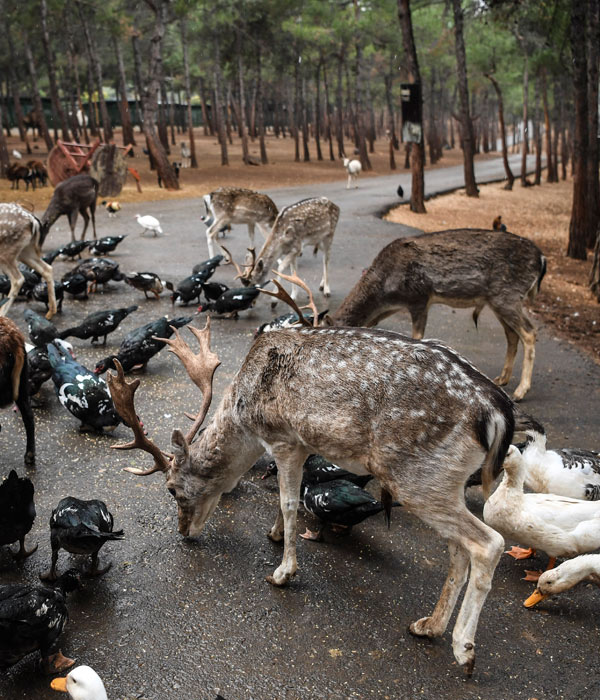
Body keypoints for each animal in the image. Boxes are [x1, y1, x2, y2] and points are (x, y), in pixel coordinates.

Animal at [109, 278, 544, 680]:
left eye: (172, 489)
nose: (184, 532)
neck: (245, 417)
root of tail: (497, 410)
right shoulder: (302, 445)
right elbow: (287, 497)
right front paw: (274, 535)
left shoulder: (283, 438)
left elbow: (288, 501)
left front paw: (282, 572)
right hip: (441, 481)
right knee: (458, 550)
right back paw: (428, 625)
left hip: (417, 476)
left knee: (487, 543)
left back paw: (464, 649)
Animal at [326, 230, 548, 402]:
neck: (385, 294)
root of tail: (542, 260)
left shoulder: (419, 298)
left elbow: (416, 337)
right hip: (498, 300)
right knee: (512, 335)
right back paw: (502, 379)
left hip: (507, 295)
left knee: (529, 332)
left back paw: (520, 391)